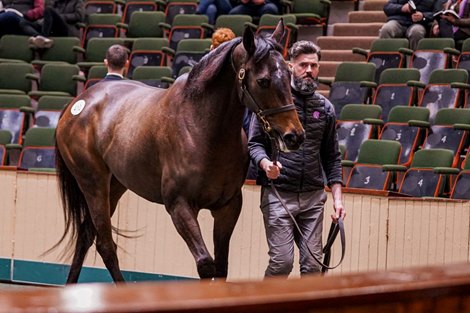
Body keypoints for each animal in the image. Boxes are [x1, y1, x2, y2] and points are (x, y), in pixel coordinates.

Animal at [55, 20, 304, 282]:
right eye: (263, 80)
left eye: (289, 74)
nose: (294, 136)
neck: (202, 129)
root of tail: (77, 103)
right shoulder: (179, 206)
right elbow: (205, 264)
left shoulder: (228, 207)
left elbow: (221, 267)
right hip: (93, 184)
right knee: (105, 245)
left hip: (114, 185)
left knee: (86, 235)